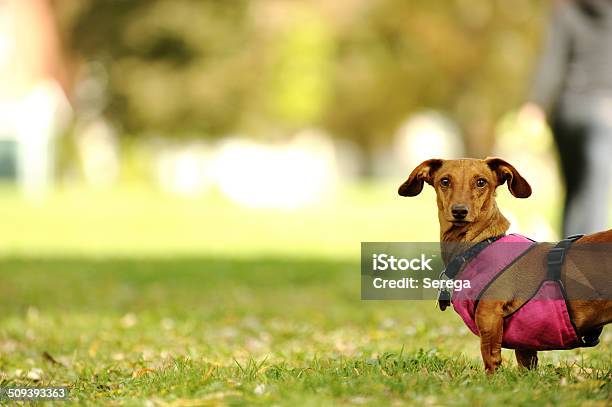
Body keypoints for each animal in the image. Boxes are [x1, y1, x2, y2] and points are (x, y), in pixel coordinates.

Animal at [400, 158, 608, 374]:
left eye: (481, 182)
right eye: (445, 181)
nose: (459, 211)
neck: (479, 245)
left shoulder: (489, 318)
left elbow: (491, 360)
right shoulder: (525, 343)